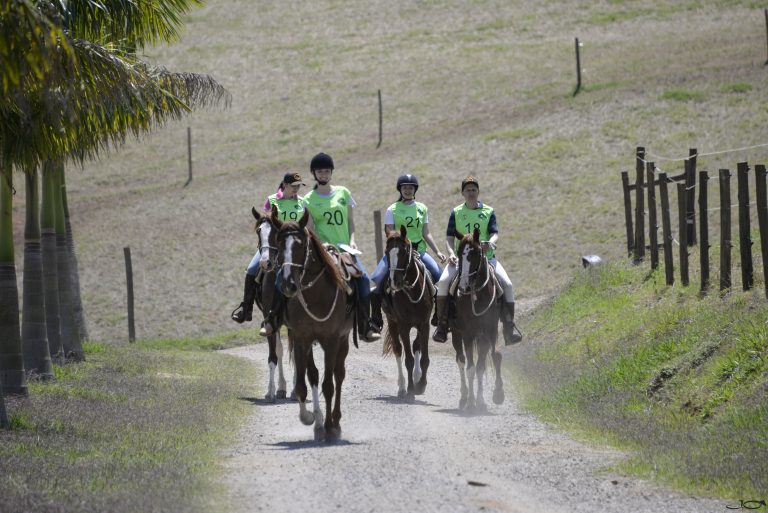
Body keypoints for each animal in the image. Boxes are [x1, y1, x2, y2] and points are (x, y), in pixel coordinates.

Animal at [272, 206, 356, 438]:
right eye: (279, 245)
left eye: (300, 245)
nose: (288, 284)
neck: (317, 295)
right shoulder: (302, 339)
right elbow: (303, 384)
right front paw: (309, 418)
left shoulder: (332, 340)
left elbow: (329, 385)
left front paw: (330, 426)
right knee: (313, 375)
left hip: (343, 340)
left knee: (338, 376)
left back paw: (335, 421)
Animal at [382, 227, 436, 400]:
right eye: (386, 252)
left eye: (404, 251)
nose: (394, 282)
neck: (412, 291)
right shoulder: (403, 326)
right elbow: (409, 360)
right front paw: (411, 389)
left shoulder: (424, 324)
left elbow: (424, 358)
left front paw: (421, 385)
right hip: (392, 322)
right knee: (398, 350)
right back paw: (402, 387)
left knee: (415, 345)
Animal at [450, 228, 504, 412]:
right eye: (459, 253)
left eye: (475, 254)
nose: (463, 287)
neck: (477, 295)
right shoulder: (467, 334)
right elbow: (471, 368)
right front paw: (472, 402)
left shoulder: (490, 331)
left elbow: (493, 358)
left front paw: (495, 395)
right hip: (456, 335)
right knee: (460, 360)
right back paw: (464, 397)